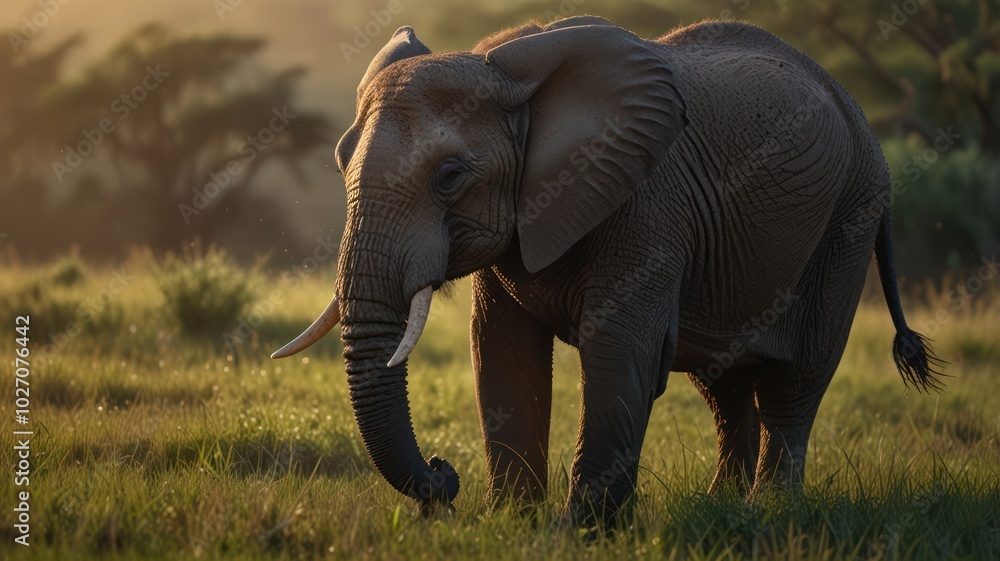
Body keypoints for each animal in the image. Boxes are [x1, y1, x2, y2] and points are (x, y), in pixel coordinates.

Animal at [272, 16, 943, 525]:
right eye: (340, 161)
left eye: (450, 176)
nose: (442, 477)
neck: (511, 73)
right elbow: (501, 349)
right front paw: (513, 523)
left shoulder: (648, 207)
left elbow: (619, 348)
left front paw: (579, 533)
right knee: (723, 383)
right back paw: (721, 506)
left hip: (851, 214)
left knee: (795, 380)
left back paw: (770, 512)